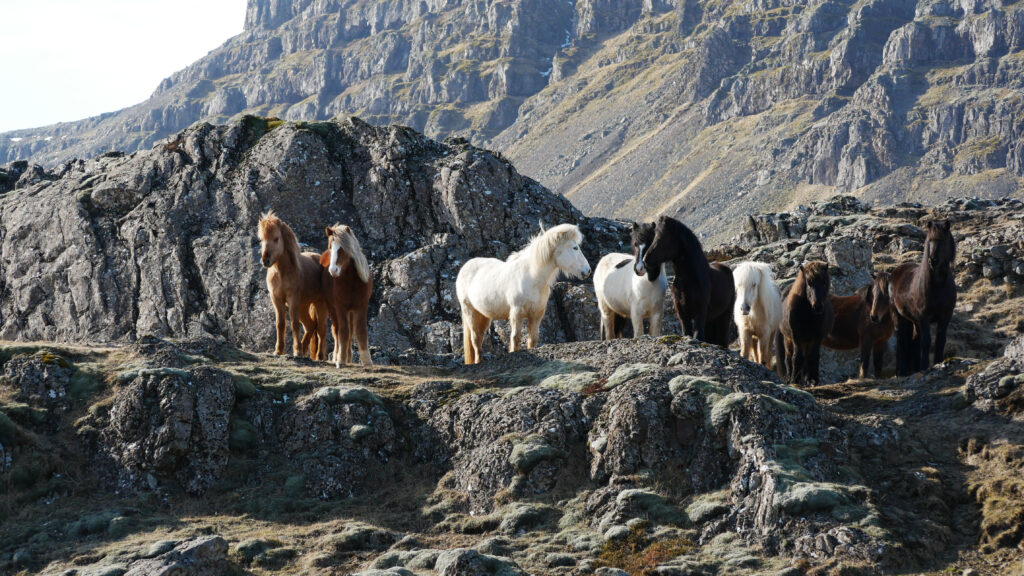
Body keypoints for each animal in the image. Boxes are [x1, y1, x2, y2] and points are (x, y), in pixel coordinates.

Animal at [258, 212, 325, 358]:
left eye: (276, 238)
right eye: (261, 240)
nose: (265, 260)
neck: (281, 273)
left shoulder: (292, 298)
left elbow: (294, 324)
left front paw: (297, 351)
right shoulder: (276, 299)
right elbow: (280, 324)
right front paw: (278, 350)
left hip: (320, 304)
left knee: (321, 329)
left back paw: (318, 356)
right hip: (303, 306)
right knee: (311, 327)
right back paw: (305, 351)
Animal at [321, 222, 374, 364]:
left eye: (343, 249)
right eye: (330, 247)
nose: (333, 270)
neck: (351, 283)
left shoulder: (361, 306)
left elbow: (361, 331)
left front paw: (367, 361)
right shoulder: (340, 307)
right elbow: (343, 332)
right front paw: (340, 360)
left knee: (350, 331)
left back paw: (349, 358)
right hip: (332, 308)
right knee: (337, 330)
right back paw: (337, 356)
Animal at [458, 223, 593, 362]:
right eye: (575, 247)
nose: (588, 271)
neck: (532, 278)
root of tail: (465, 267)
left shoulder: (537, 314)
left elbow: (533, 338)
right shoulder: (516, 312)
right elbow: (516, 338)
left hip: (484, 315)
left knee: (479, 337)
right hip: (470, 312)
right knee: (476, 339)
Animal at [892, 217, 954, 375]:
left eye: (942, 240)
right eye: (930, 240)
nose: (933, 260)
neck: (938, 286)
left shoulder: (945, 316)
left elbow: (940, 340)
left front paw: (938, 362)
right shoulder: (924, 317)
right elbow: (926, 342)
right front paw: (925, 366)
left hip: (914, 321)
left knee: (913, 341)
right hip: (899, 317)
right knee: (902, 341)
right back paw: (902, 371)